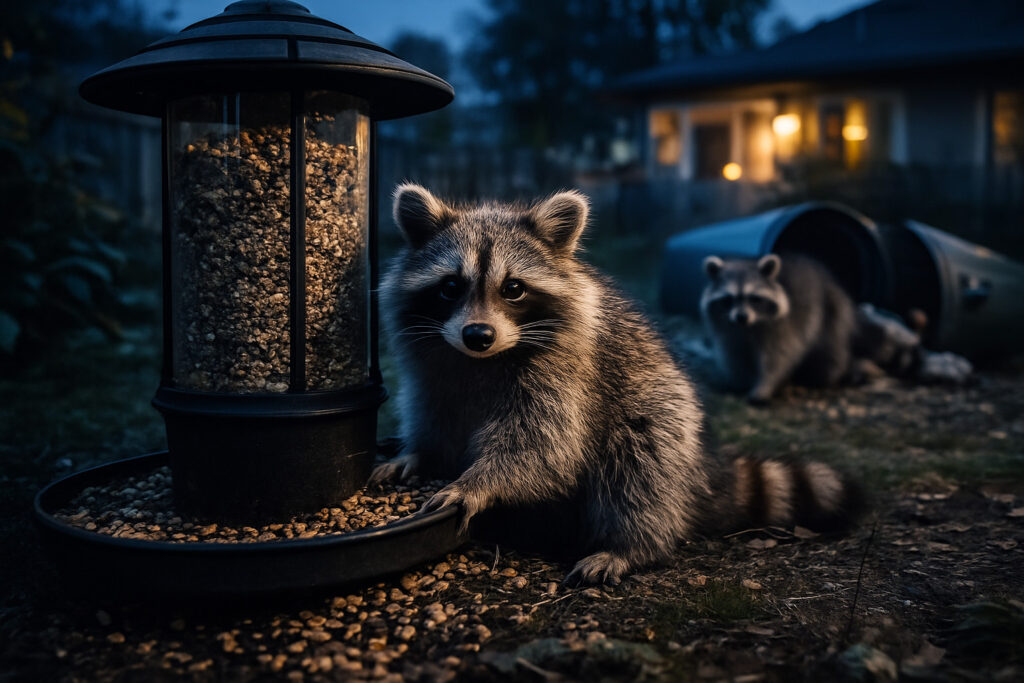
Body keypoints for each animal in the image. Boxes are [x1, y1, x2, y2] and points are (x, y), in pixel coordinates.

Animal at [700, 253, 858, 404]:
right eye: (728, 299)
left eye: (754, 298)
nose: (741, 316)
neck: (748, 327)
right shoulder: (728, 331)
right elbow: (733, 354)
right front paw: (742, 380)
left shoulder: (782, 328)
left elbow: (778, 358)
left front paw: (764, 386)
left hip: (832, 314)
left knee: (829, 353)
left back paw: (822, 377)